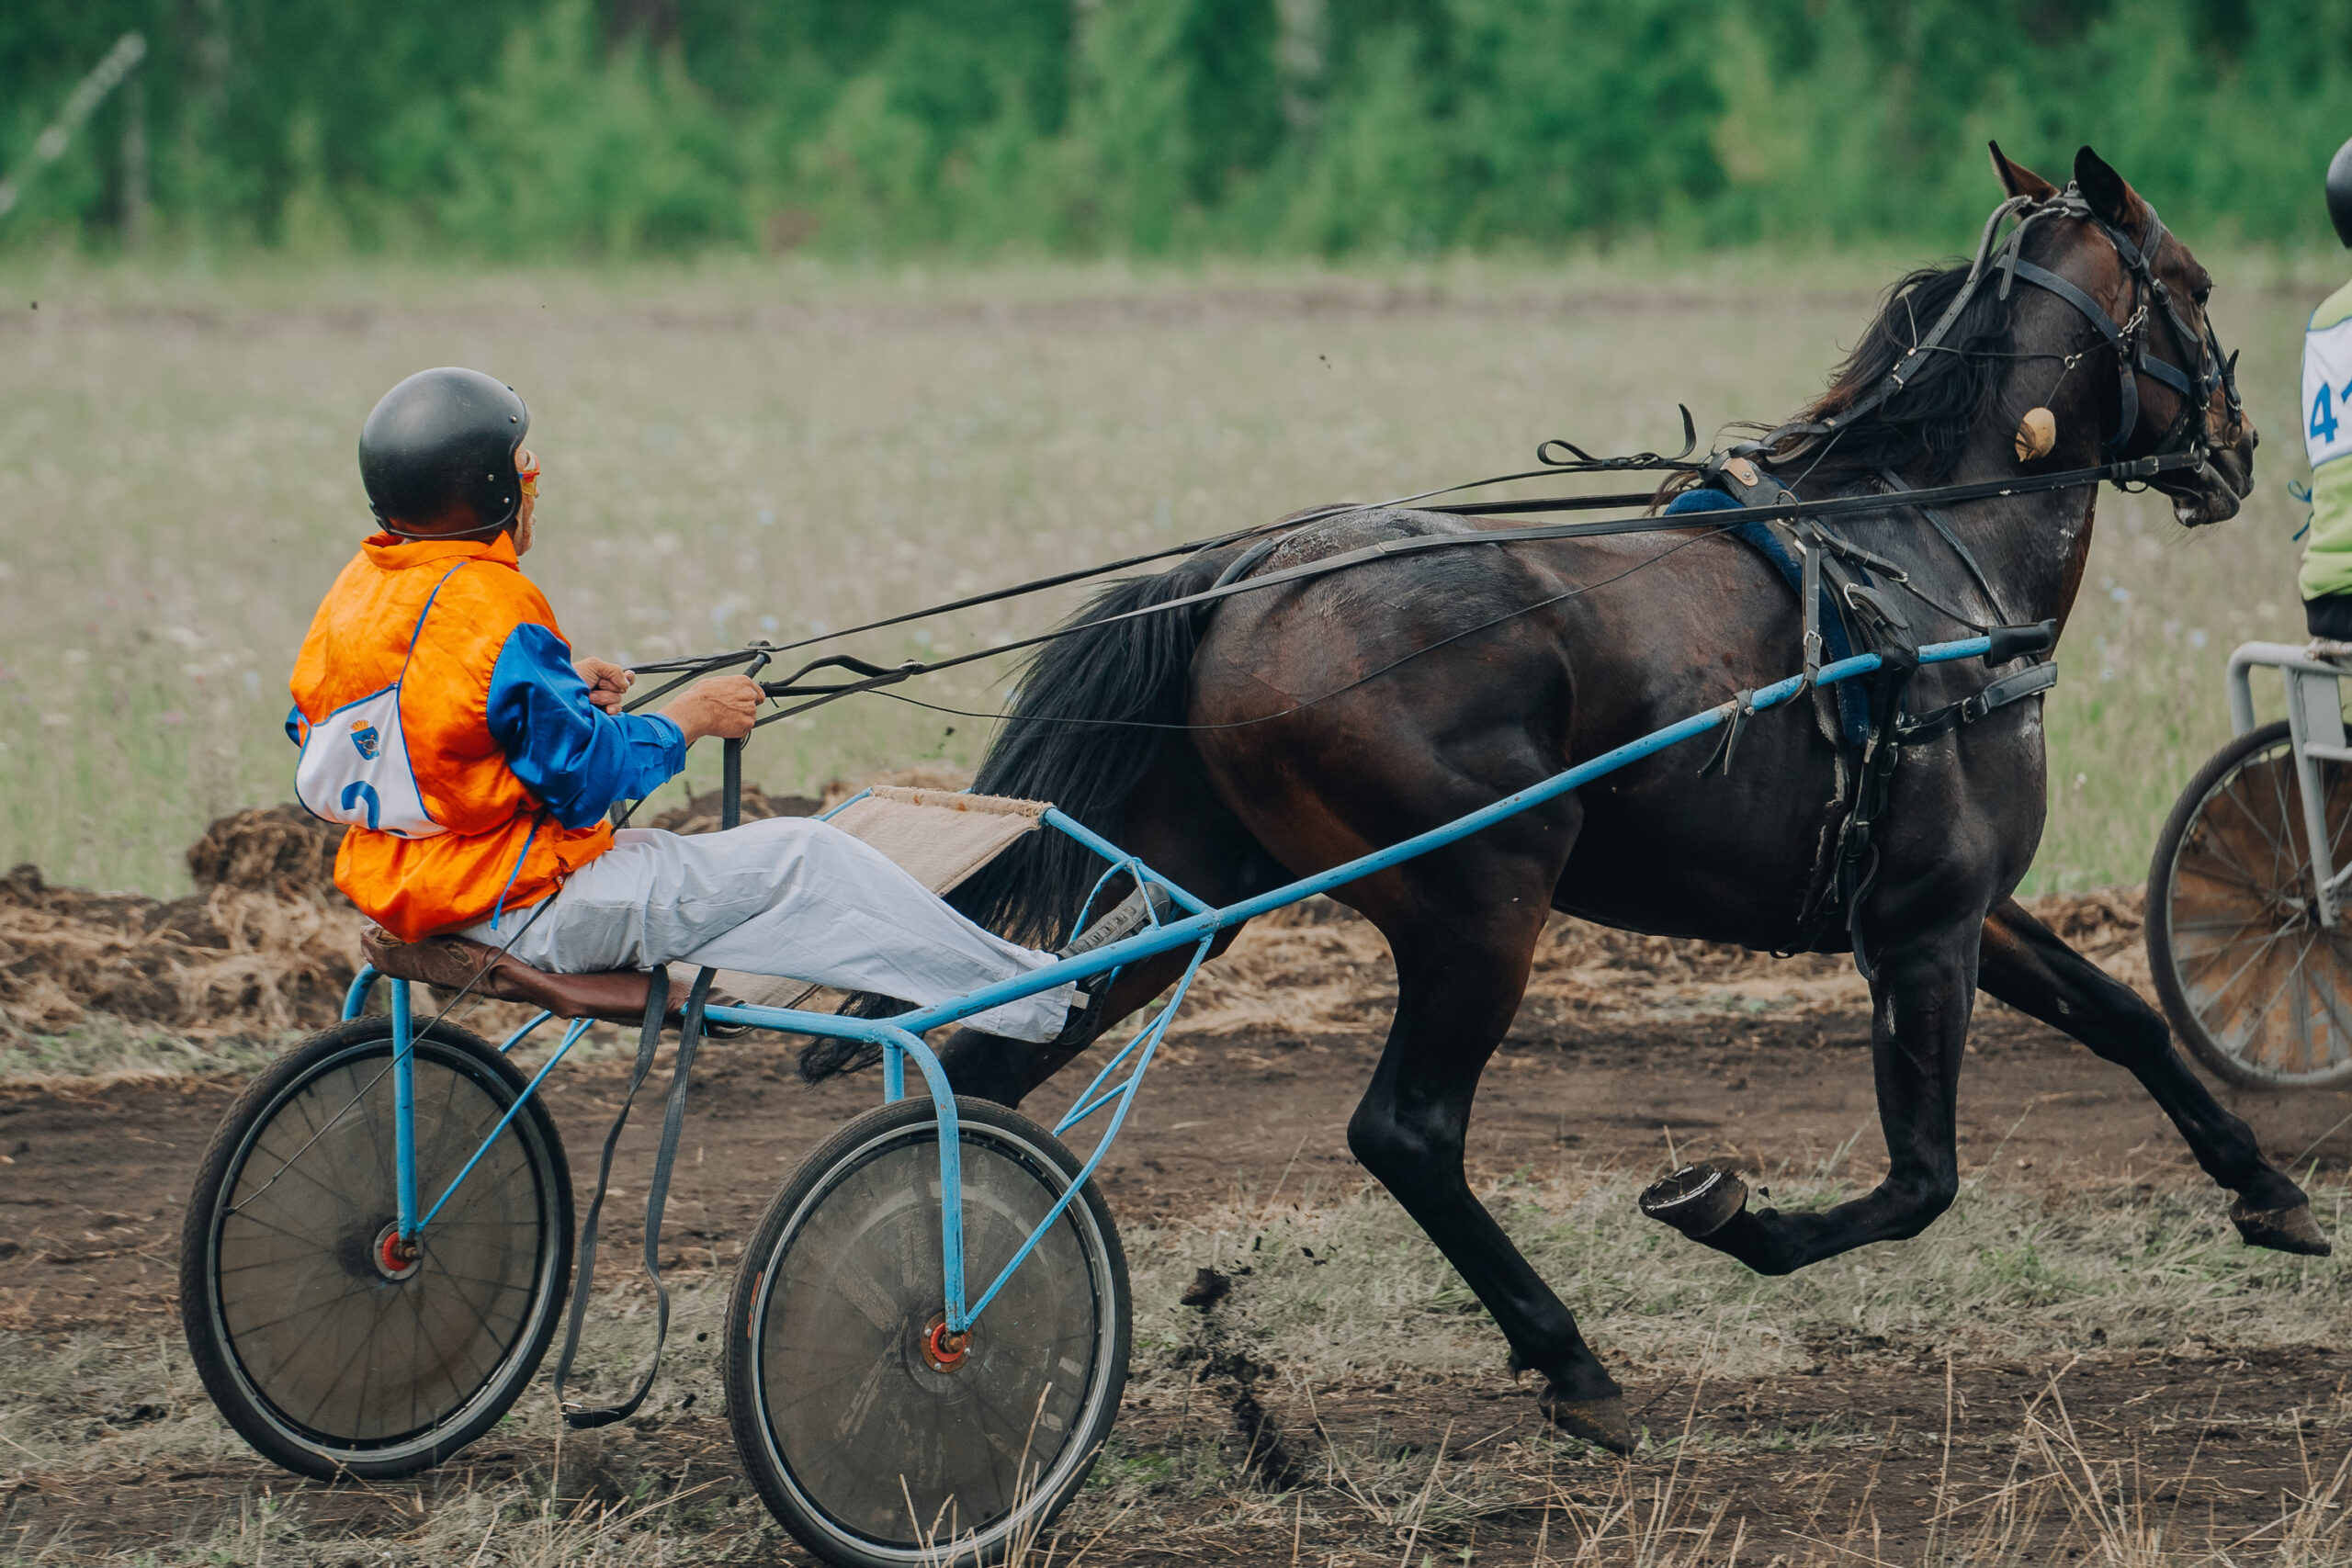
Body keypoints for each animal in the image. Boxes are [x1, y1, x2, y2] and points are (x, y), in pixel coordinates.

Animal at [837, 150, 2304, 1457]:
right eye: (2196, 284)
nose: (2239, 447)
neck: (1930, 558)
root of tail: (1254, 572)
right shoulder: (1924, 925)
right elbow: (1920, 1180)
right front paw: (1733, 1216)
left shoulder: (1956, 903)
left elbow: (2121, 1015)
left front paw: (2271, 1188)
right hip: (1484, 898)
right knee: (1407, 1130)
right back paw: (1572, 1361)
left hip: (1186, 888)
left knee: (995, 1066)